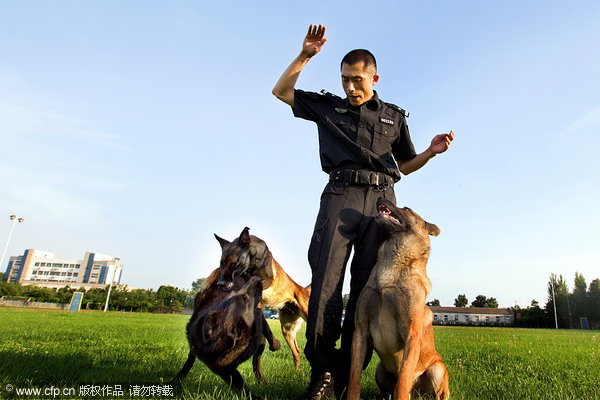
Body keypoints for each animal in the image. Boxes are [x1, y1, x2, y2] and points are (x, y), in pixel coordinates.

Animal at [171, 270, 278, 398]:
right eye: (244, 297)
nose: (255, 278)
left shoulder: (258, 317)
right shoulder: (225, 370)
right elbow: (242, 388)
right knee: (191, 357)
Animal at [214, 228, 310, 368]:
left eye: (234, 262)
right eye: (221, 263)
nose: (220, 284)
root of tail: (303, 289)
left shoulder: (269, 279)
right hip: (287, 330)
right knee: (296, 352)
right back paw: (296, 371)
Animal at [344, 199, 448, 400]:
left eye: (406, 209)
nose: (380, 199)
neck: (392, 262)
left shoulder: (411, 335)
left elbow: (403, 380)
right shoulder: (360, 330)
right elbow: (353, 377)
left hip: (437, 370)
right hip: (380, 370)